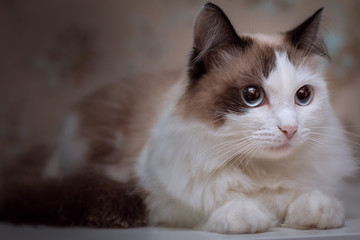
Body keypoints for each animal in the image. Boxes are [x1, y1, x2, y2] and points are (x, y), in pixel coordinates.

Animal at [0, 1, 356, 233]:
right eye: (252, 96)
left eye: (303, 96)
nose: (290, 129)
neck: (260, 169)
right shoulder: (150, 193)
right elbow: (214, 206)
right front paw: (250, 216)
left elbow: (315, 201)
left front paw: (314, 211)